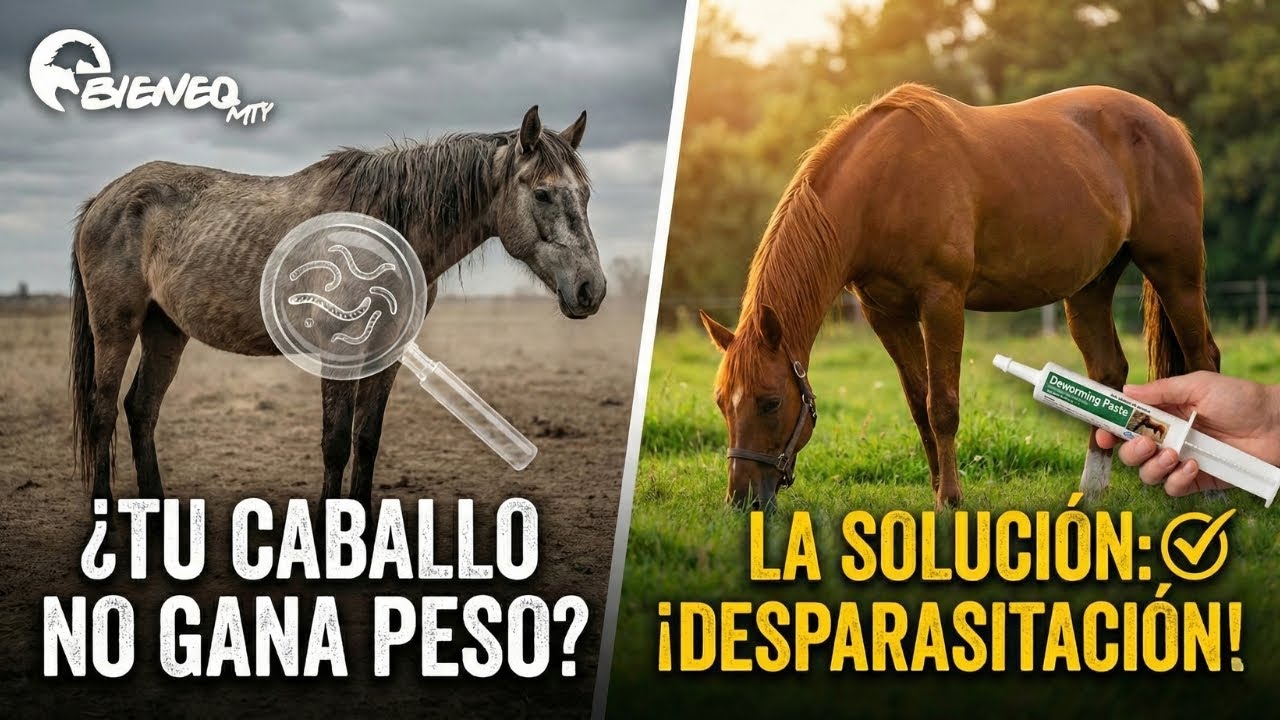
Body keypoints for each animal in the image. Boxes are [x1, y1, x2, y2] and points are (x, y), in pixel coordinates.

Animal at [70, 106, 606, 514]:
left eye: (585, 193)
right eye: (542, 193)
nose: (591, 289)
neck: (384, 227)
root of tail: (105, 197)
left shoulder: (388, 353)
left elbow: (366, 440)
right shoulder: (337, 353)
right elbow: (335, 443)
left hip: (165, 329)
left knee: (141, 409)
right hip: (115, 327)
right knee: (103, 411)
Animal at [699, 84, 1220, 511]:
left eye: (769, 402)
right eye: (723, 402)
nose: (742, 500)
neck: (882, 187)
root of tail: (1167, 123)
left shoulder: (942, 302)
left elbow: (942, 406)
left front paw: (949, 498)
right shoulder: (885, 313)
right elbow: (918, 405)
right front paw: (936, 491)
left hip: (1175, 272)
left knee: (1203, 358)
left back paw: (1211, 489)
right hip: (1089, 288)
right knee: (1108, 374)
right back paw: (1091, 492)